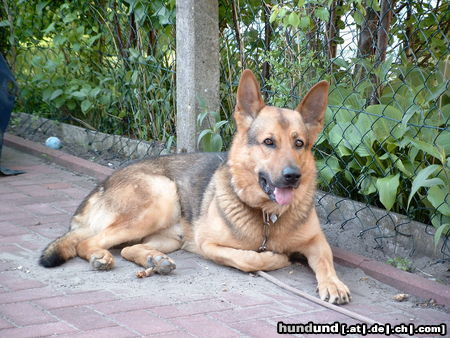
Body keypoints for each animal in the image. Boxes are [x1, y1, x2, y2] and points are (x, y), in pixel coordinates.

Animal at [39, 70, 352, 304]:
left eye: (299, 143)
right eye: (269, 142)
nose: (292, 176)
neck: (267, 217)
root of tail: (101, 186)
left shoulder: (316, 241)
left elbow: (326, 261)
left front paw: (333, 283)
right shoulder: (209, 245)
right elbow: (248, 259)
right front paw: (275, 257)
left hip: (170, 235)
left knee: (128, 249)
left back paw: (154, 259)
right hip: (160, 197)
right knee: (88, 242)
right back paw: (101, 256)